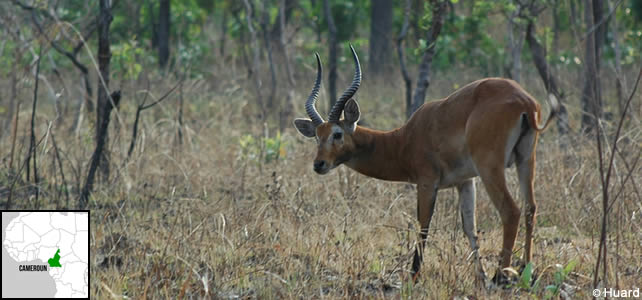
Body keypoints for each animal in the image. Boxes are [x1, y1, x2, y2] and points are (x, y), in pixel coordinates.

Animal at [292, 45, 556, 284]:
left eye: (337, 134)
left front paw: (414, 276)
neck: (404, 140)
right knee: (531, 207)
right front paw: (479, 277)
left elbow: (423, 226)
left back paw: (501, 276)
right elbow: (469, 228)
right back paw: (526, 270)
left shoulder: (427, 181)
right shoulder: (465, 181)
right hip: (525, 160)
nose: (319, 164)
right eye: (317, 136)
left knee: (511, 211)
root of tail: (524, 102)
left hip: (490, 168)